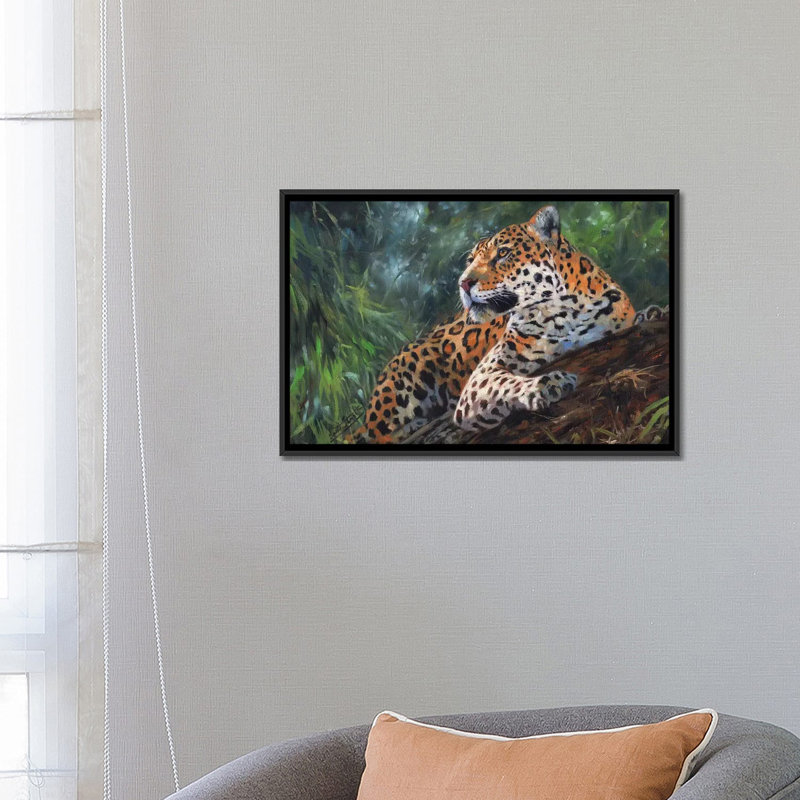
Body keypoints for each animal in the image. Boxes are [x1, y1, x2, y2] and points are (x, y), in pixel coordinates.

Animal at [363, 205, 645, 442]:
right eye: (470, 261)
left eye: (503, 253)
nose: (463, 283)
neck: (563, 313)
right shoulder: (481, 377)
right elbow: (505, 382)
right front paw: (547, 384)